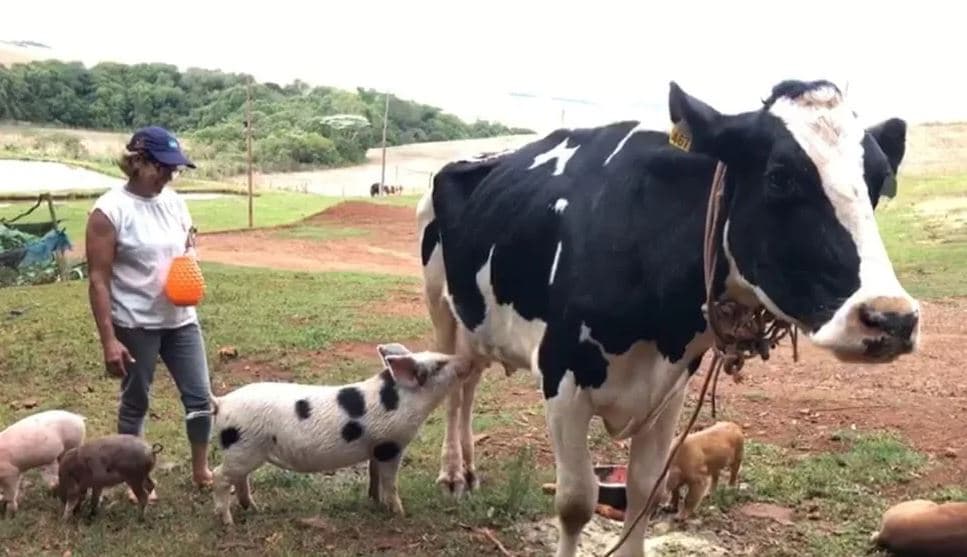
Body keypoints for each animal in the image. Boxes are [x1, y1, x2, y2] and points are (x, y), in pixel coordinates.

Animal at [417, 79, 919, 557]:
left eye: (878, 183)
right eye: (779, 177)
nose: (892, 318)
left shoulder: (669, 386)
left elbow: (645, 492)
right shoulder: (561, 379)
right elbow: (576, 502)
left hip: (479, 321)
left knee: (468, 382)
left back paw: (468, 469)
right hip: (440, 309)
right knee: (453, 386)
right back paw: (452, 474)